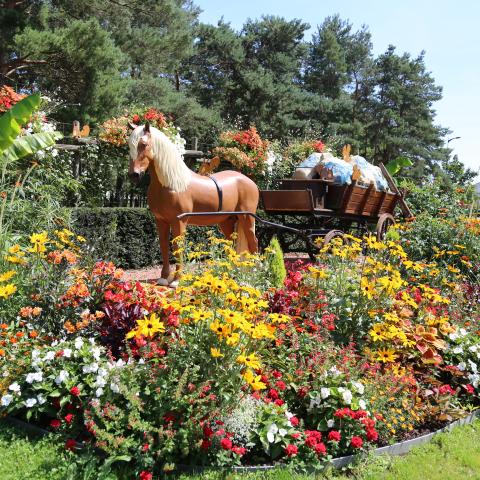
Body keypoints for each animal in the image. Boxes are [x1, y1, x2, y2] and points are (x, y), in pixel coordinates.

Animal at [125, 124, 256, 286]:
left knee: (253, 243)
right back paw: (230, 271)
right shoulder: (161, 220)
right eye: (129, 145)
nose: (134, 174)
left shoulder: (179, 221)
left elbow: (178, 247)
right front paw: (164, 278)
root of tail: (250, 182)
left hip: (247, 218)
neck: (171, 184)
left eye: (144, 144)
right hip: (227, 221)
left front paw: (176, 281)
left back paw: (256, 271)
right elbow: (164, 246)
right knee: (231, 243)